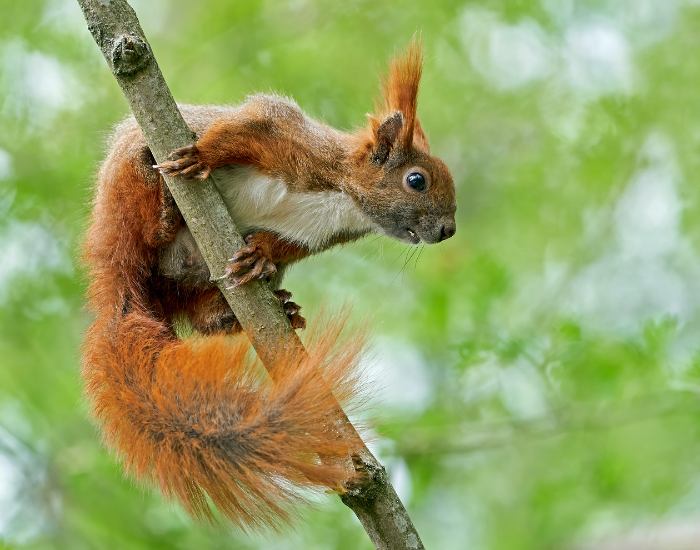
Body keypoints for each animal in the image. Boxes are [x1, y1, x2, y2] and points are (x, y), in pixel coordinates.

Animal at [82, 39, 456, 530]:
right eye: (417, 180)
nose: (449, 230)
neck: (343, 198)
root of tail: (119, 287)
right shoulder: (283, 136)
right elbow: (243, 129)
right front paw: (201, 156)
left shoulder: (310, 237)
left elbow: (278, 247)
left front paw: (259, 256)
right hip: (126, 191)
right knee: (144, 219)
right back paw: (163, 212)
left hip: (184, 286)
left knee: (199, 312)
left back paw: (252, 309)